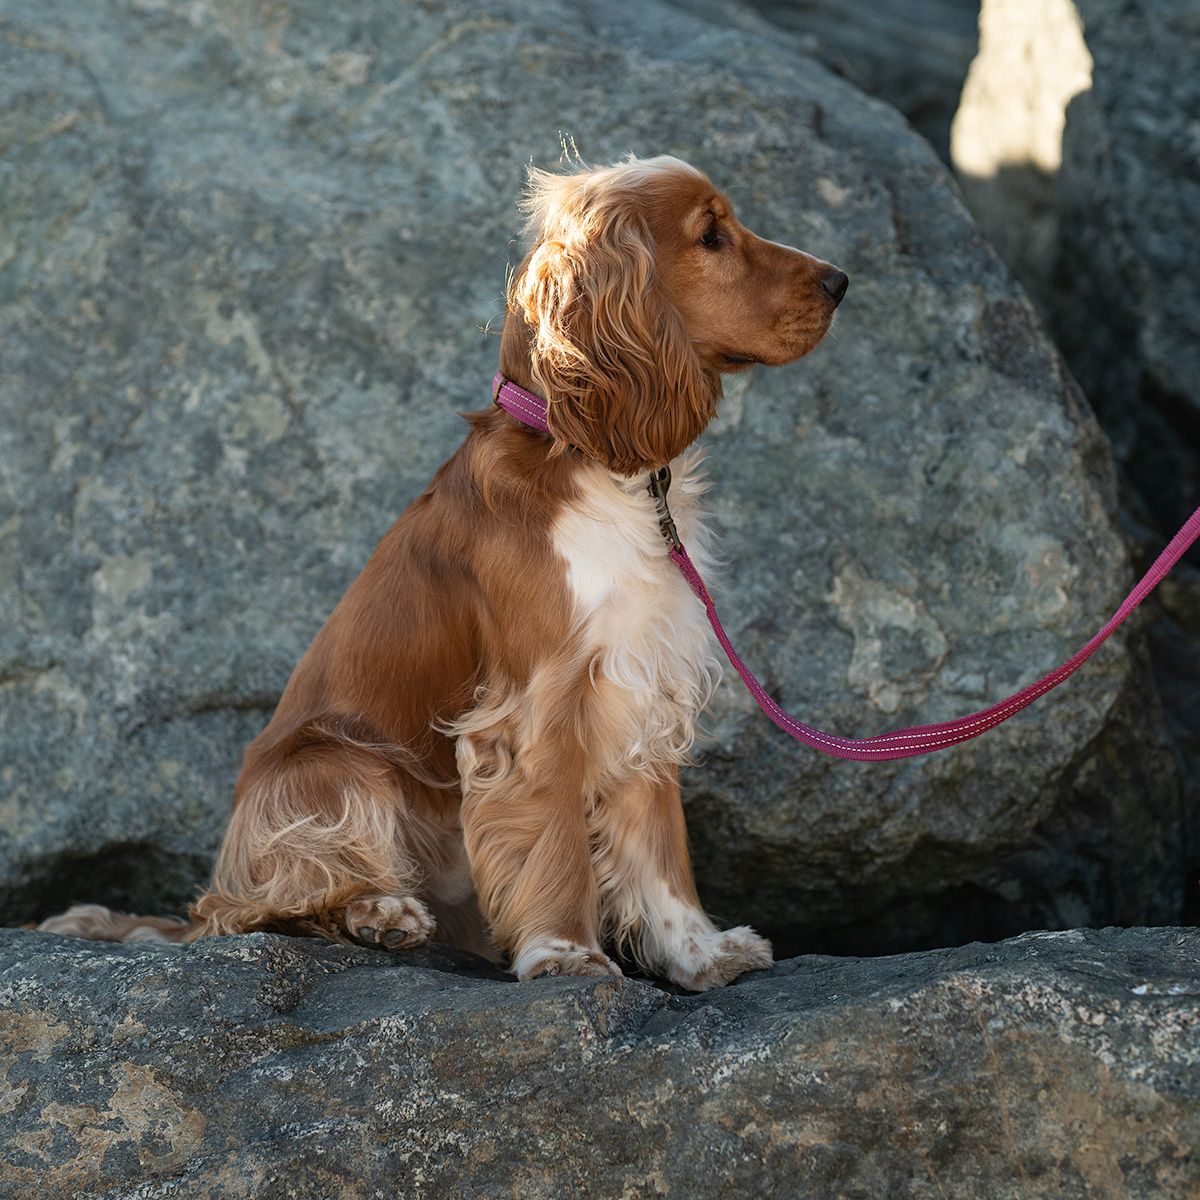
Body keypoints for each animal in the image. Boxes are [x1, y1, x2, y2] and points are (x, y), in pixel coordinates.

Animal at [44, 154, 844, 988]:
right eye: (711, 236)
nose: (841, 281)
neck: (595, 463)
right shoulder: (540, 699)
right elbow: (556, 833)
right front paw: (567, 951)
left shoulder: (643, 679)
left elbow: (659, 849)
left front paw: (701, 953)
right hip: (340, 768)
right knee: (262, 904)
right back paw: (379, 912)